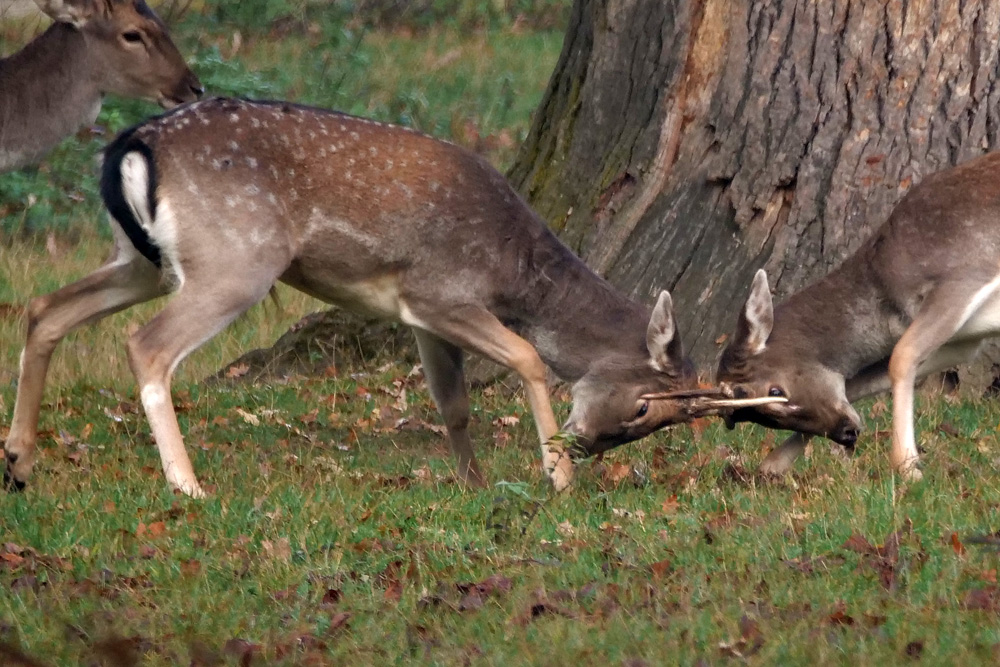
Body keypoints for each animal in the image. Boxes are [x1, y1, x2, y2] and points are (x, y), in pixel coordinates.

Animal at [0, 96, 772, 498]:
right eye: (644, 406)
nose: (587, 447)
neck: (513, 268)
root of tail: (127, 147)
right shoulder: (439, 289)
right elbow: (526, 356)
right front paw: (553, 477)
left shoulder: (420, 313)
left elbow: (452, 402)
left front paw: (473, 482)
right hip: (235, 259)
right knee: (146, 345)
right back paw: (188, 486)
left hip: (143, 259)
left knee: (44, 310)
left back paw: (19, 461)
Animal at [716, 153, 1000, 480]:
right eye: (760, 417)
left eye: (775, 390)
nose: (846, 433)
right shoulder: (966, 340)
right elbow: (860, 381)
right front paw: (772, 464)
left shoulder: (965, 273)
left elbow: (900, 356)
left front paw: (907, 467)